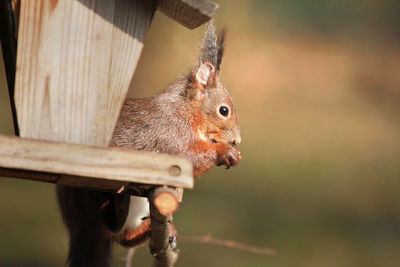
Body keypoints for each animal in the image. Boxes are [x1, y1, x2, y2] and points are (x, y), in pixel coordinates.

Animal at [55, 22, 241, 267]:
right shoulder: (171, 133)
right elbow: (189, 157)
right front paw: (226, 152)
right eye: (224, 110)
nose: (237, 140)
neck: (188, 111)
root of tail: (80, 228)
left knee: (124, 238)